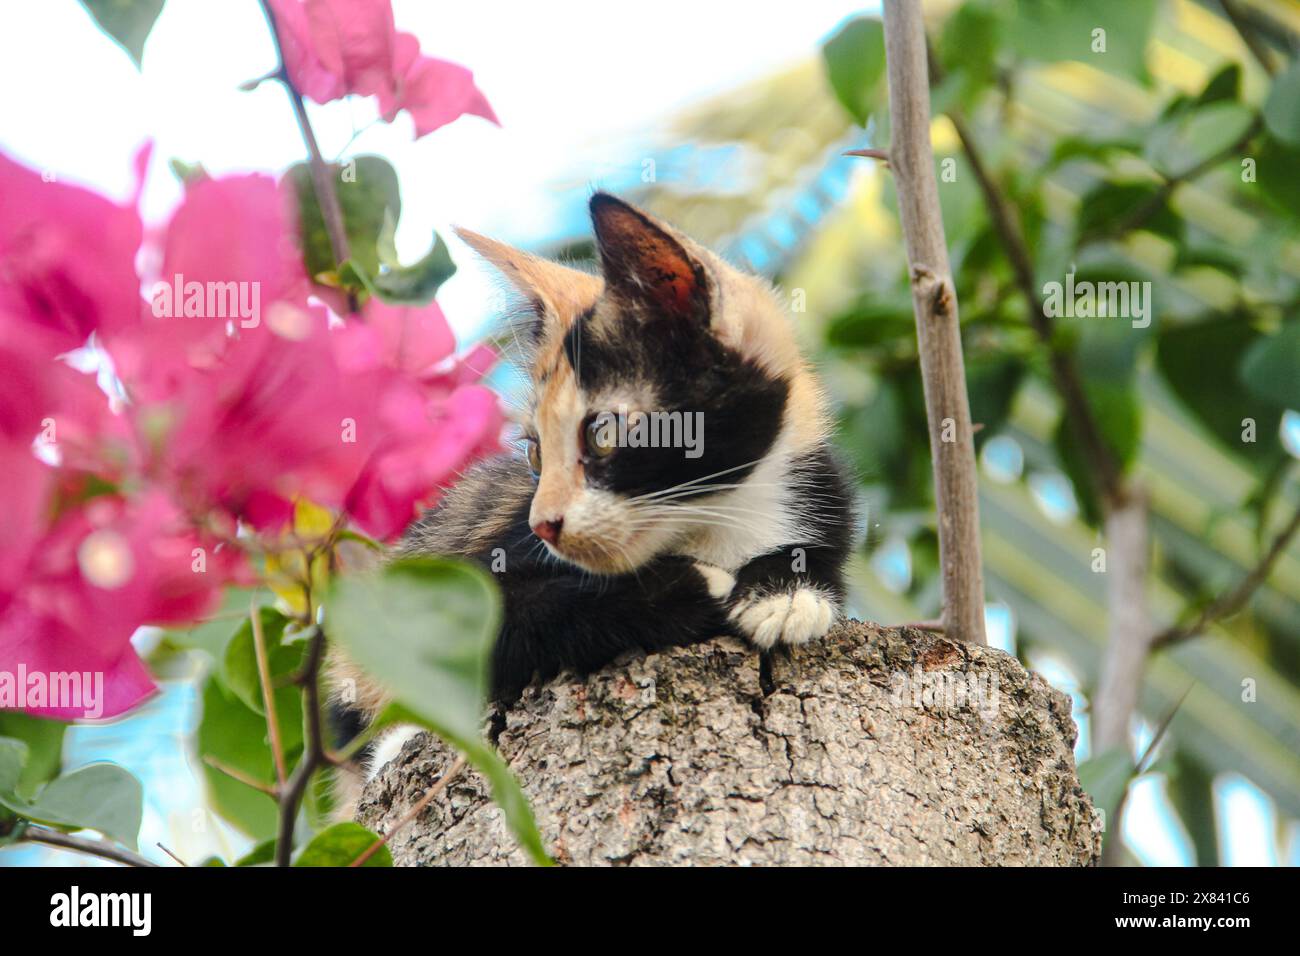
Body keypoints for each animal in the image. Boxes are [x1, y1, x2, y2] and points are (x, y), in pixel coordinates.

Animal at [330, 196, 852, 790]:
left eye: (602, 433)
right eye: (535, 454)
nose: (543, 524)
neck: (712, 517)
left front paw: (786, 593)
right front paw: (696, 588)